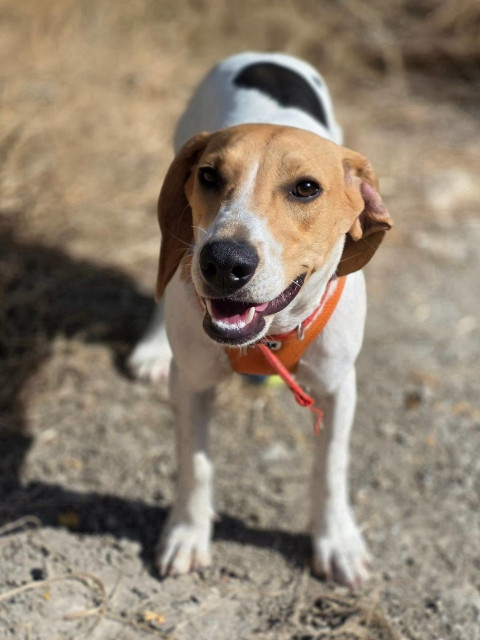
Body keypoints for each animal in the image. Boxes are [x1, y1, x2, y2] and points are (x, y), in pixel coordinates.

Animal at [129, 52, 393, 587]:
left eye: (307, 188)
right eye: (209, 176)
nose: (223, 262)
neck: (269, 334)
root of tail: (266, 57)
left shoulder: (338, 387)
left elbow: (331, 467)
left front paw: (336, 541)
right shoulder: (191, 383)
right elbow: (195, 464)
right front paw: (187, 533)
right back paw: (151, 348)